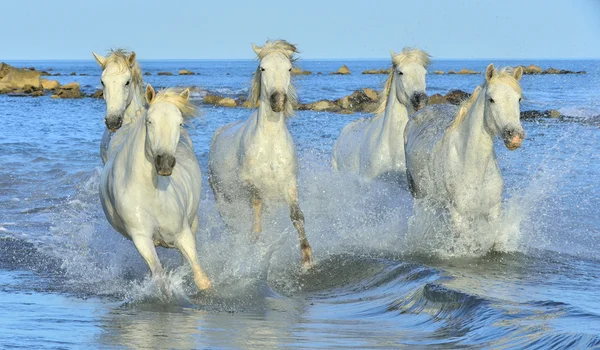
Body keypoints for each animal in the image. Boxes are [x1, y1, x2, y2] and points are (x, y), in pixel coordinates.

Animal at [99, 84, 211, 290]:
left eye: (180, 123)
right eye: (150, 121)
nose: (165, 163)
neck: (152, 194)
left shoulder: (183, 234)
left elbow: (200, 277)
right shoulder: (141, 238)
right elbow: (160, 277)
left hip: (193, 221)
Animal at [209, 39, 314, 270]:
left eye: (289, 68)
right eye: (263, 68)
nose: (278, 101)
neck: (270, 145)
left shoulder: (289, 183)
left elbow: (297, 217)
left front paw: (307, 258)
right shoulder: (251, 184)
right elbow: (256, 218)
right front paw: (254, 246)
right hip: (223, 200)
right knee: (232, 226)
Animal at [404, 64, 524, 235]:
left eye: (518, 99)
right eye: (491, 99)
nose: (515, 136)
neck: (472, 164)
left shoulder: (493, 212)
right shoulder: (459, 216)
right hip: (418, 194)